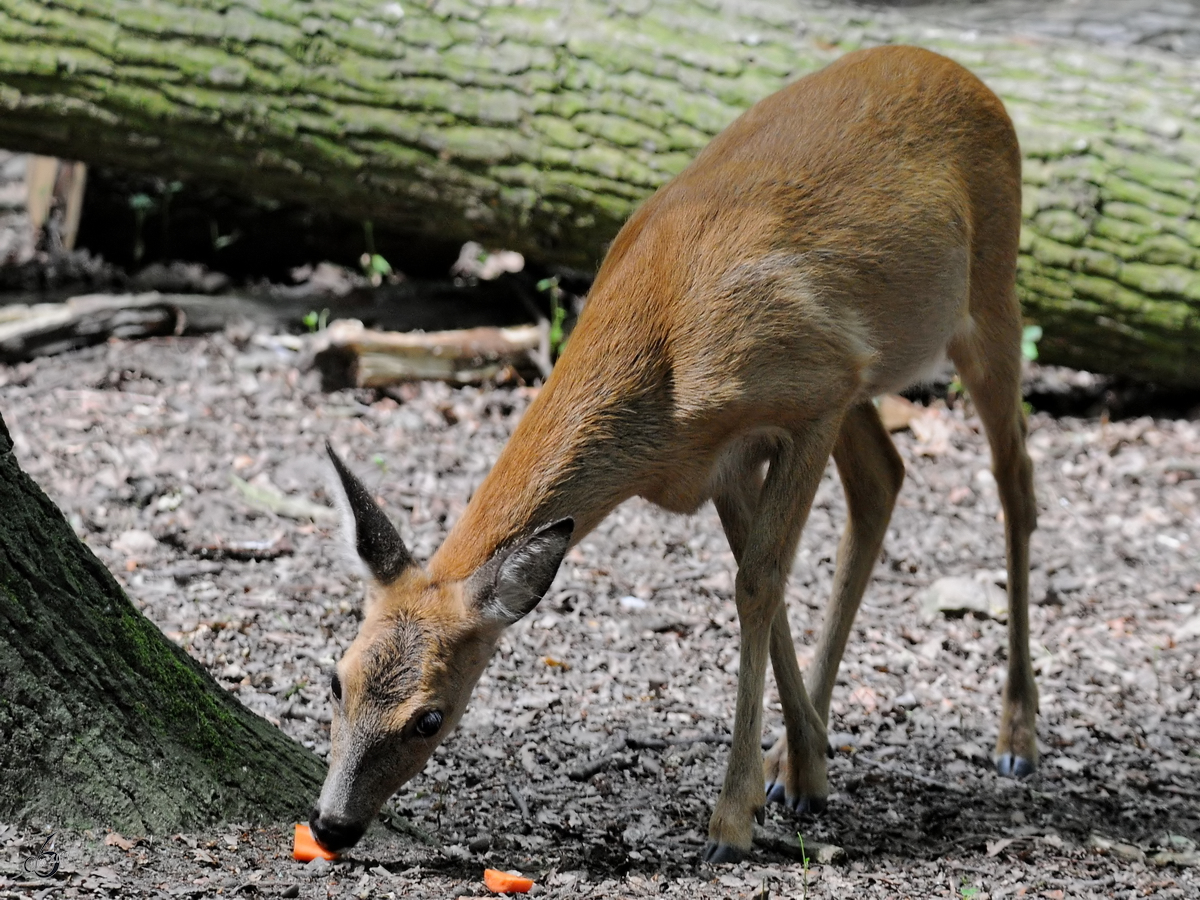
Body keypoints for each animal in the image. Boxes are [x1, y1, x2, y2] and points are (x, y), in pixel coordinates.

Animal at [312, 44, 1041, 868]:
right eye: (335, 678)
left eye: (430, 717)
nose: (331, 825)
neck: (659, 349)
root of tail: (963, 72)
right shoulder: (729, 455)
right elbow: (764, 587)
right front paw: (803, 765)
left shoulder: (812, 398)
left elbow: (758, 583)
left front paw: (731, 819)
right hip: (867, 368)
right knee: (885, 477)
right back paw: (805, 761)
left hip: (987, 298)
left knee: (1015, 479)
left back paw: (1017, 738)